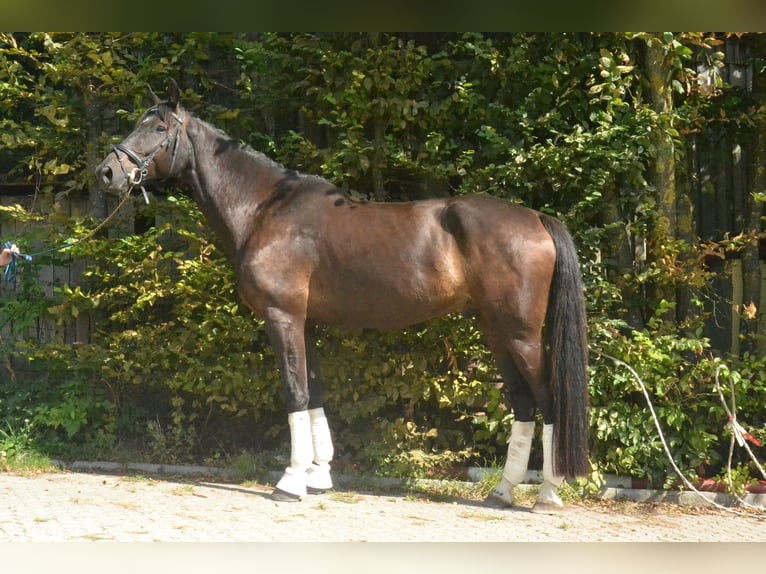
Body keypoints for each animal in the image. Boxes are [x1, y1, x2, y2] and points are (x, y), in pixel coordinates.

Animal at [94, 80, 588, 512]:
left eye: (159, 128)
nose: (107, 172)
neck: (265, 210)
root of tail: (536, 218)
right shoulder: (305, 322)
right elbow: (314, 392)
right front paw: (318, 476)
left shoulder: (282, 317)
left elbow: (294, 393)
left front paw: (290, 482)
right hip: (496, 331)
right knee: (522, 404)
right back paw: (503, 492)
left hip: (521, 334)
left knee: (548, 401)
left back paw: (547, 494)